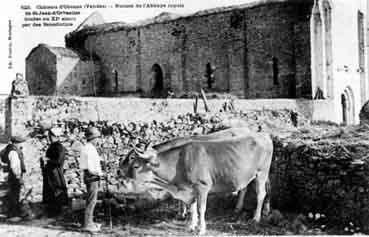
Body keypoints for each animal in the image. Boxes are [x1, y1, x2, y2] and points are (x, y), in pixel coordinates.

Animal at [119, 131, 272, 234]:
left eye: (135, 164)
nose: (121, 174)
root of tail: (263, 134)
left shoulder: (202, 187)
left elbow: (200, 208)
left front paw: (200, 229)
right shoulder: (189, 190)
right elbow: (192, 208)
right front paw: (191, 226)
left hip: (262, 172)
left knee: (261, 194)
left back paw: (256, 218)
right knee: (248, 188)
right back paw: (245, 209)